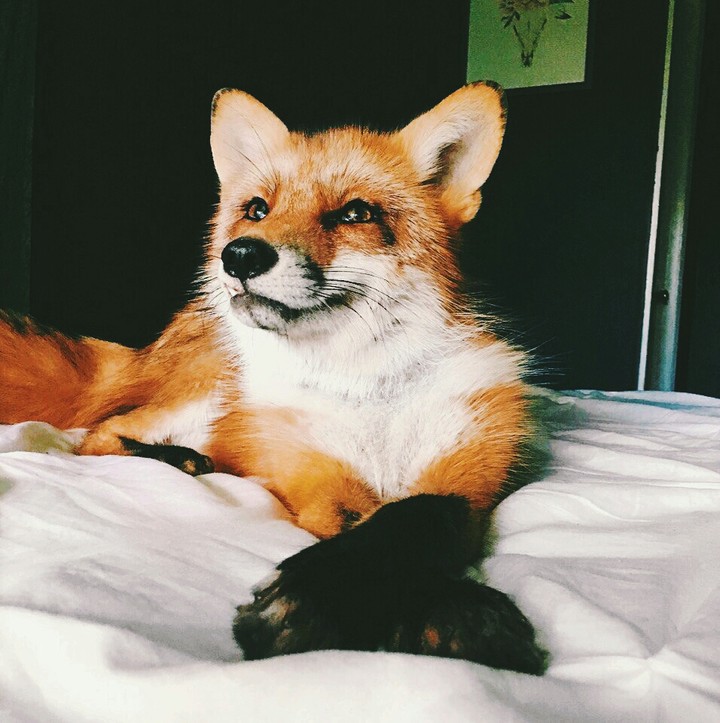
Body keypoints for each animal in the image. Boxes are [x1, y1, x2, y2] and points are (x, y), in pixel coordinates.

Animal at [0, 82, 547, 674]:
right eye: (257, 210)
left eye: (356, 212)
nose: (239, 255)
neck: (364, 389)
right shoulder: (310, 472)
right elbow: (358, 527)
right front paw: (329, 595)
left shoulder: (467, 475)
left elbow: (413, 518)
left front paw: (448, 610)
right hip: (209, 393)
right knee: (96, 437)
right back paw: (179, 460)